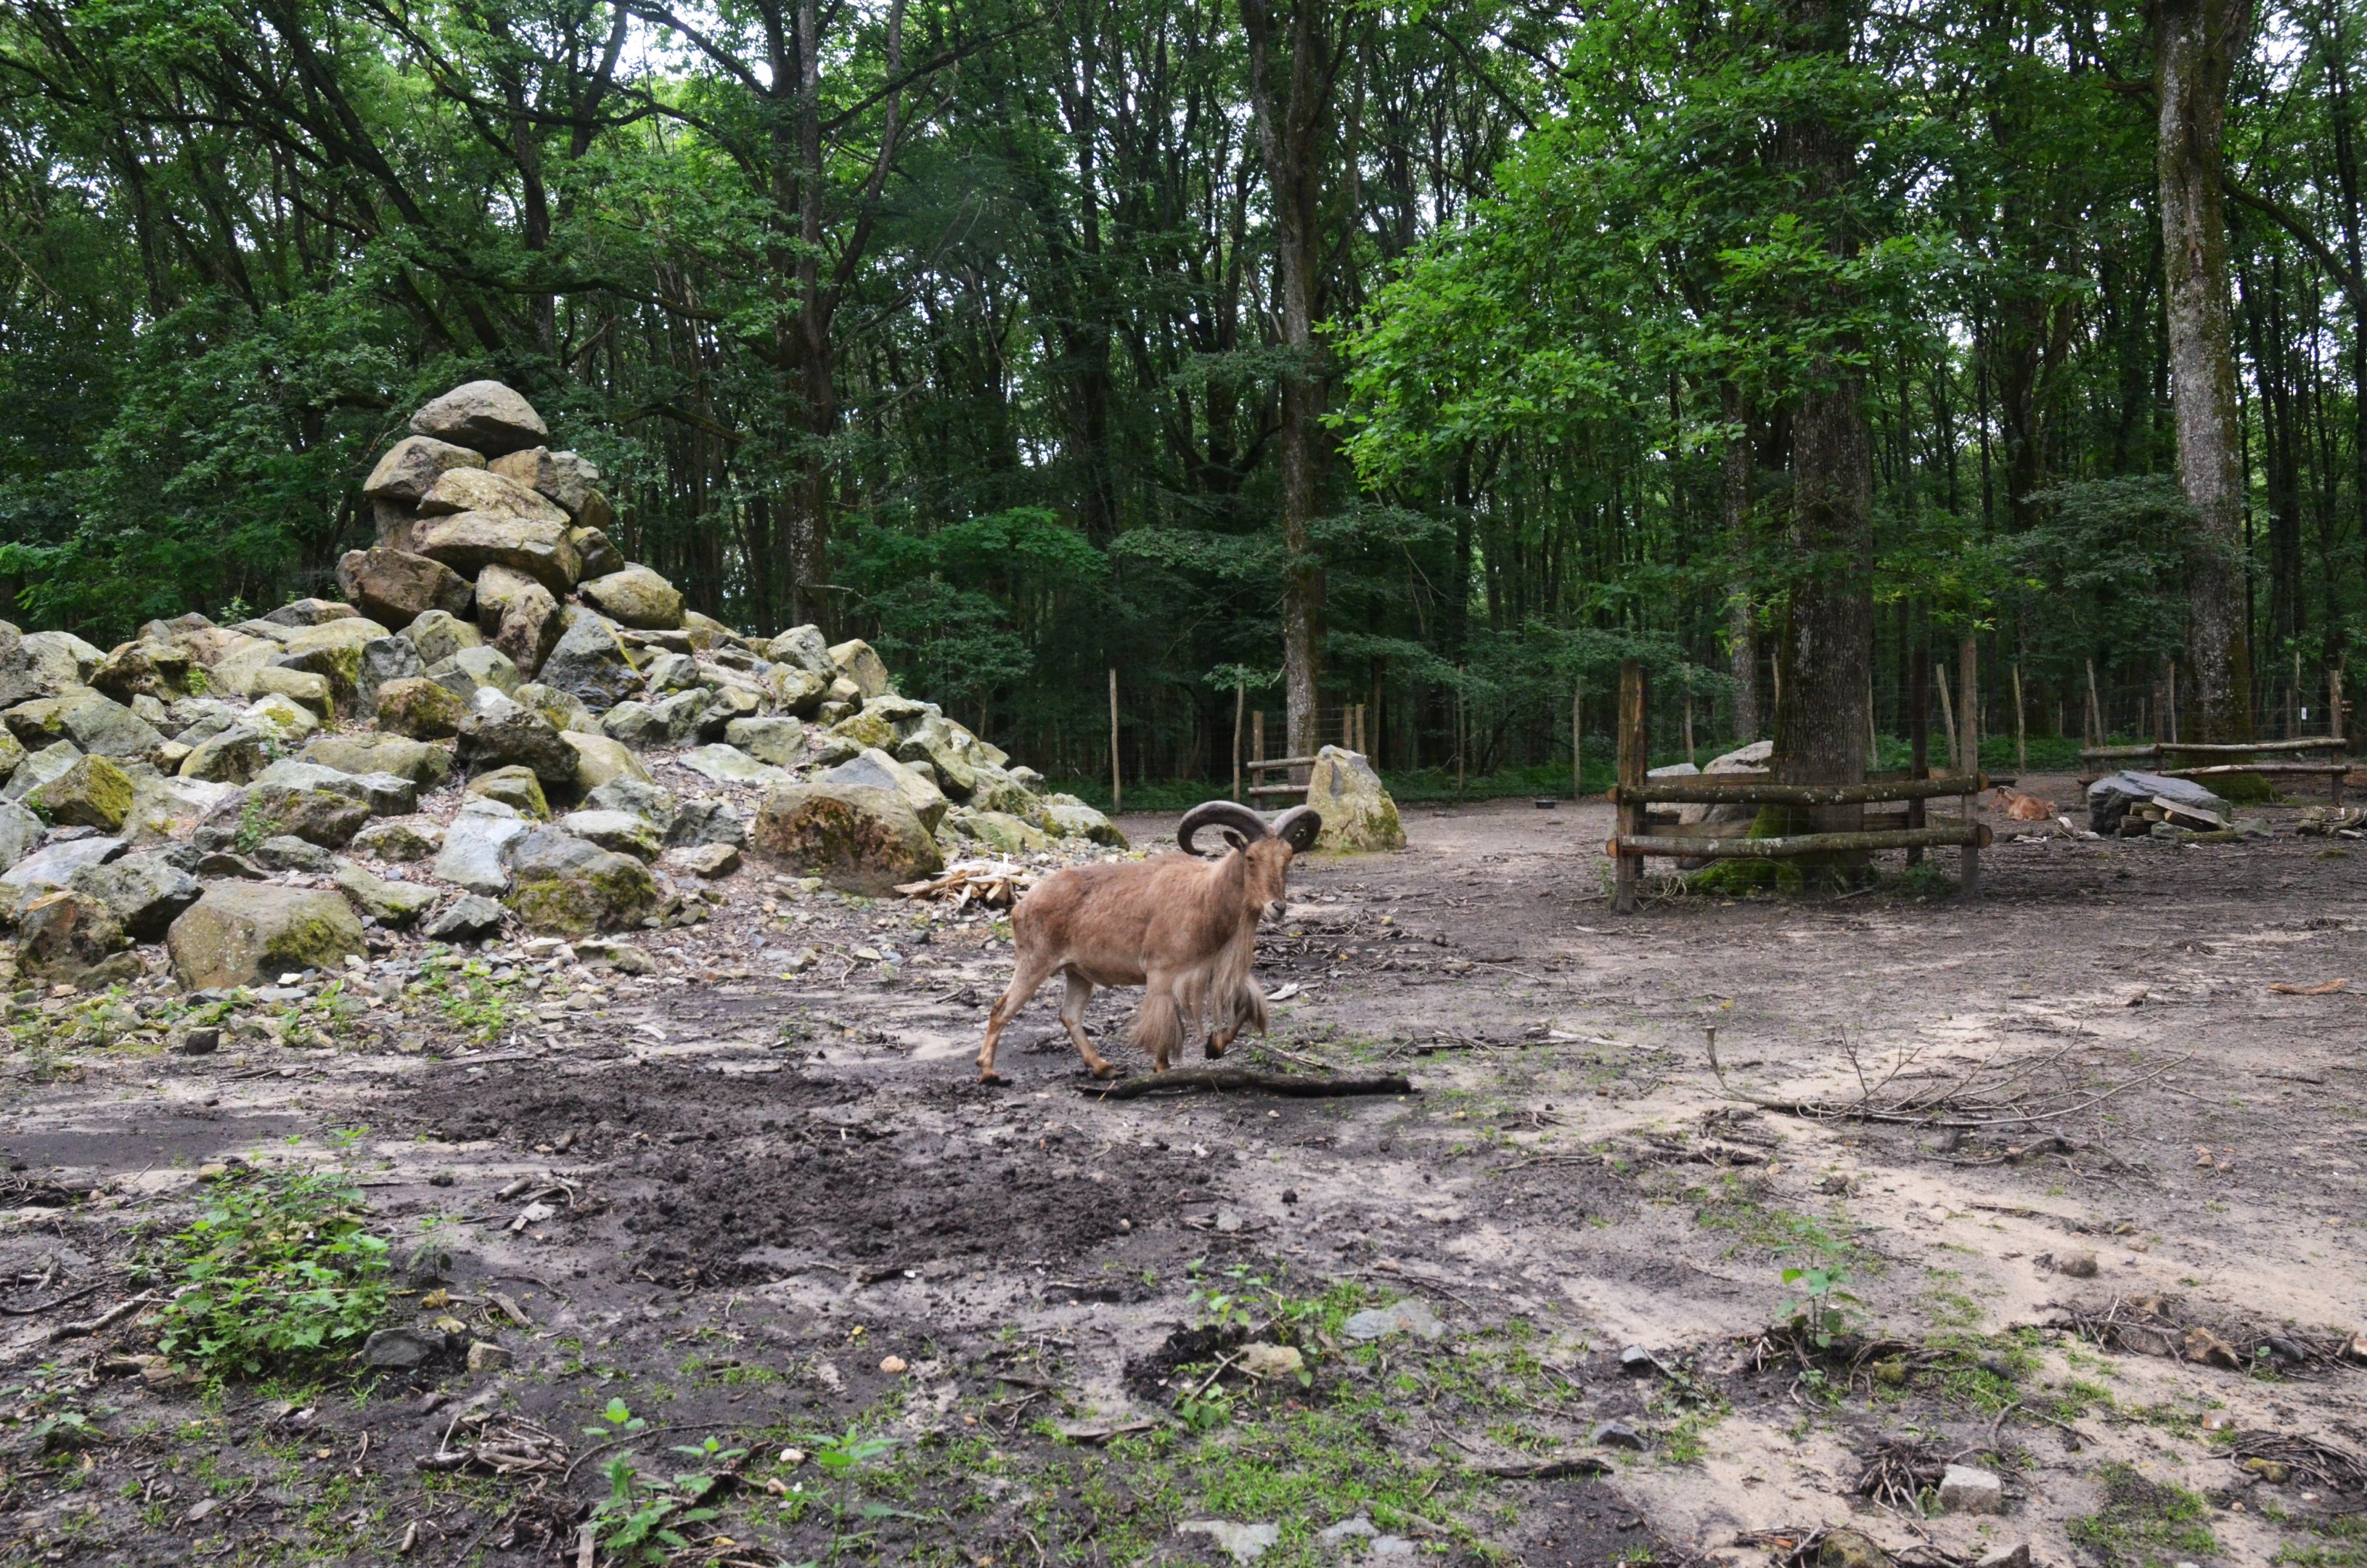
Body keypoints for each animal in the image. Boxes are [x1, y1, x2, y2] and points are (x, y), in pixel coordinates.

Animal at [974, 800, 1322, 1084]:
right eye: (1250, 857)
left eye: (1287, 858)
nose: (1277, 907)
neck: (1205, 897)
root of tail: (1021, 905)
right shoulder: (1162, 973)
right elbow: (1164, 1023)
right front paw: (1162, 1069)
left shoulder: (1213, 970)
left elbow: (1245, 1006)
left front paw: (1214, 1047)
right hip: (1035, 962)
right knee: (1000, 1009)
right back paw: (988, 1071)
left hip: (1078, 973)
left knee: (1069, 1015)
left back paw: (1103, 1067)